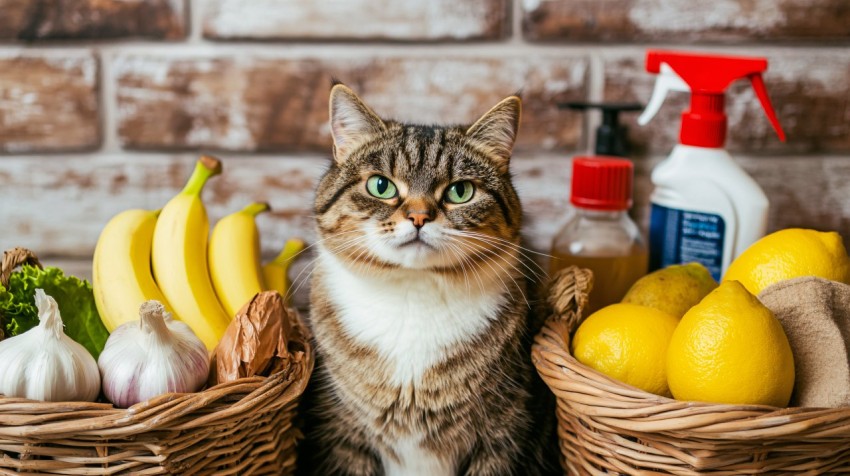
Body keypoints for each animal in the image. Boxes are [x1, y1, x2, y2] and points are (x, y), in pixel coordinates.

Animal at [300, 83, 556, 474]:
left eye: (460, 191)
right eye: (381, 186)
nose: (419, 217)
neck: (412, 295)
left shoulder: (505, 433)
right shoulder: (342, 434)